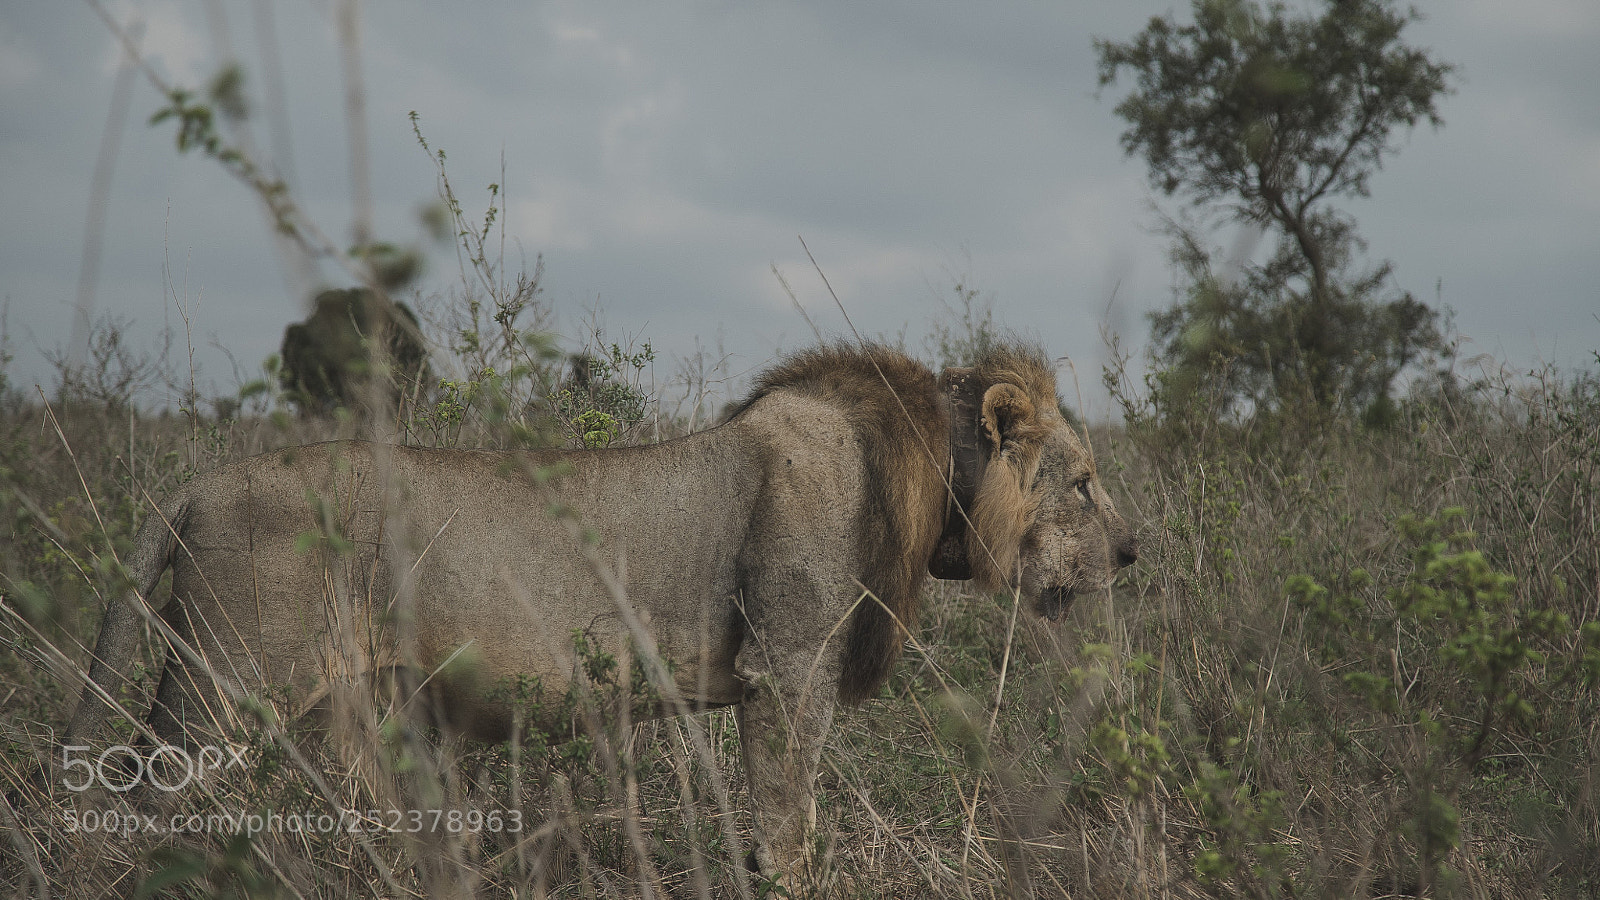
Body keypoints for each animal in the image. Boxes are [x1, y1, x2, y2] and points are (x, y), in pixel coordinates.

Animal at [67, 342, 1137, 881]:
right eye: (1085, 483)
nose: (1132, 553)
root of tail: (198, 483)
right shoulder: (788, 671)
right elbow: (790, 813)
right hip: (227, 685)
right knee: (143, 802)